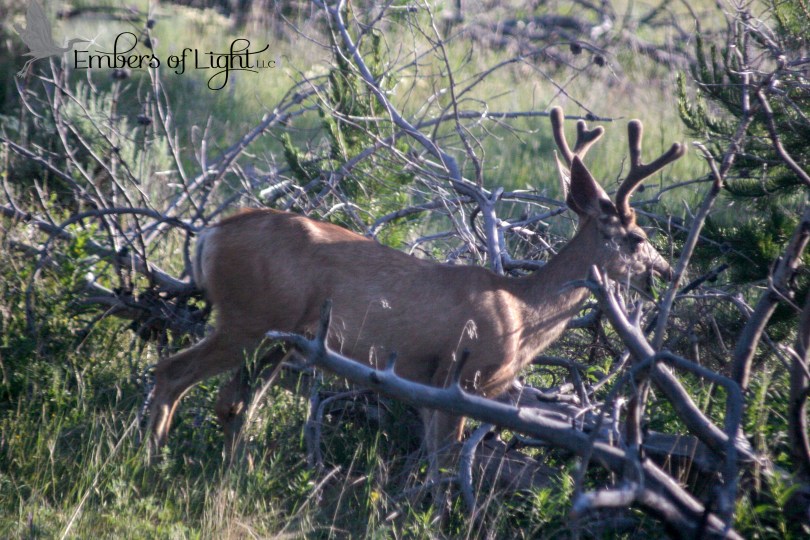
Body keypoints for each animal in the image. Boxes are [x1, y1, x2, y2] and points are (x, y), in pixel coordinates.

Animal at [147, 108, 685, 476]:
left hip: (278, 340)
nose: (665, 270)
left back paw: (229, 473)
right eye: (637, 238)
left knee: (233, 405)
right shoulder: (463, 376)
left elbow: (430, 458)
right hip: (249, 318)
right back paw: (149, 460)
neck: (522, 312)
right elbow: (446, 463)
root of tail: (210, 235)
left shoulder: (428, 384)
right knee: (173, 373)